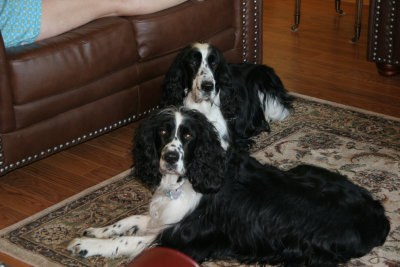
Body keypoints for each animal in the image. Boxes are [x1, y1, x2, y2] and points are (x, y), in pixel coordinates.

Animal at [69, 107, 390, 267]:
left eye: (188, 136)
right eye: (162, 132)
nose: (170, 158)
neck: (189, 181)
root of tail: (379, 216)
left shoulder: (185, 240)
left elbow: (130, 242)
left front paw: (89, 245)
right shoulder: (165, 216)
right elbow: (133, 220)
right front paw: (97, 230)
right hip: (305, 169)